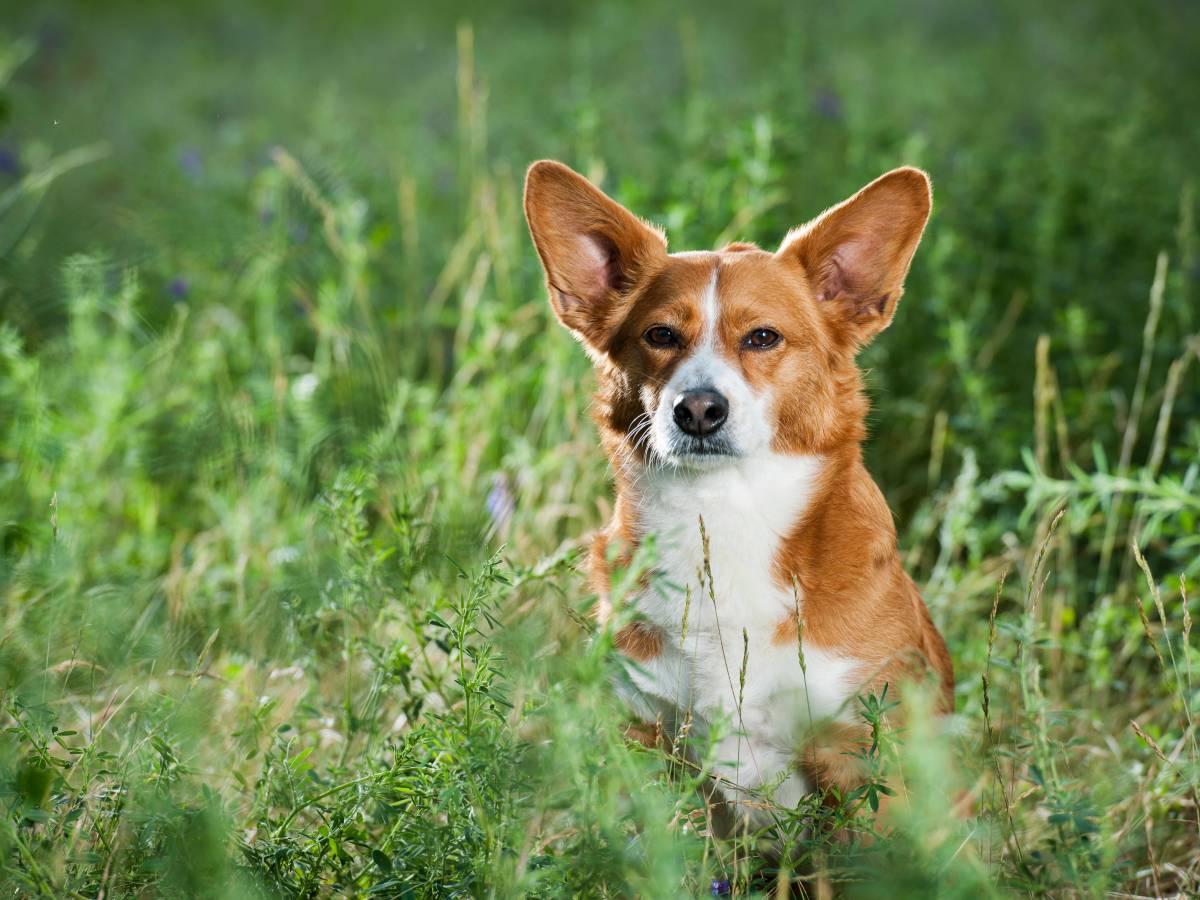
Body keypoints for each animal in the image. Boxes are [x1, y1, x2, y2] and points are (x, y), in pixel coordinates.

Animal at [520, 160, 950, 830]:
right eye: (660, 334)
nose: (698, 409)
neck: (725, 512)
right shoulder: (644, 734)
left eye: (763, 338)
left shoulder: (865, 752)